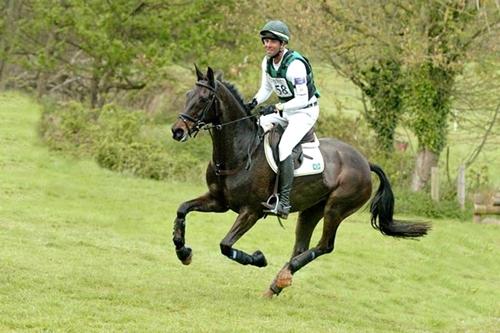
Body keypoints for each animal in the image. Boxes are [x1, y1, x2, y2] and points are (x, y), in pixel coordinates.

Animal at [170, 65, 428, 296]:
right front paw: (183, 251)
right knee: (301, 247)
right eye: (188, 95)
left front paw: (258, 258)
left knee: (324, 246)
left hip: (336, 208)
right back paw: (277, 284)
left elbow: (225, 245)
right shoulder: (218, 201)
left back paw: (282, 276)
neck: (241, 151)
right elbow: (182, 209)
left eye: (204, 99)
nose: (177, 131)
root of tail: (365, 162)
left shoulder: (251, 211)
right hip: (312, 210)